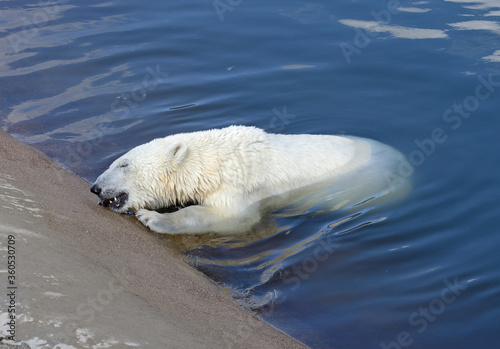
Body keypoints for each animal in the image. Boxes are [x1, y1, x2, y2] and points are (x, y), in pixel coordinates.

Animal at [91, 125, 410, 234]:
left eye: (124, 164)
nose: (95, 187)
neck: (211, 160)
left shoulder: (239, 187)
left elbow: (231, 218)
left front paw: (152, 217)